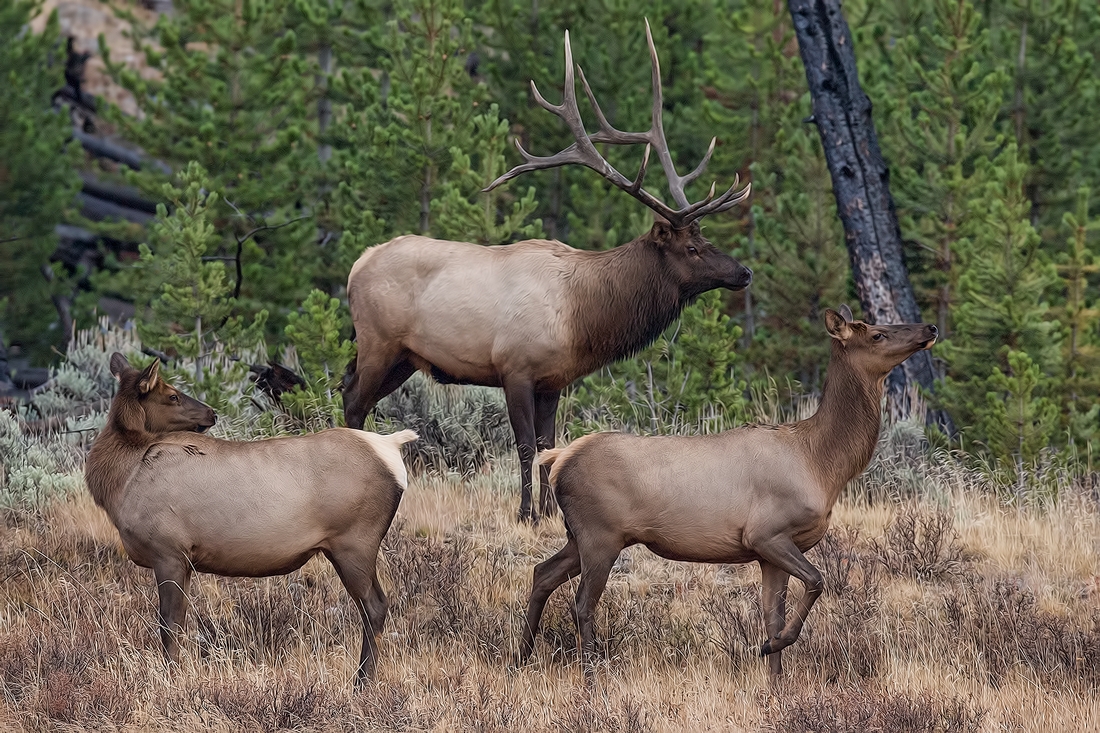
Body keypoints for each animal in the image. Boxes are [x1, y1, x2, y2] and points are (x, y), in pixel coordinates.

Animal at [85, 352, 415, 682]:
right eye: (173, 395)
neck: (122, 483)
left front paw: (173, 675)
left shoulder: (168, 550)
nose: (212, 413)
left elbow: (169, 624)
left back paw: (363, 680)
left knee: (375, 606)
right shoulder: (185, 559)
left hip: (355, 541)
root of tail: (391, 446)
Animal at [345, 21, 748, 519]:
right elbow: (523, 445)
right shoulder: (514, 367)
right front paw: (525, 512)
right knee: (354, 401)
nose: (743, 272)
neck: (584, 316)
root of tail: (357, 264)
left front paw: (552, 511)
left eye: (706, 239)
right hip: (378, 341)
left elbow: (547, 443)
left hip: (403, 357)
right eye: (692, 247)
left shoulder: (554, 380)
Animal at [514, 303, 937, 677]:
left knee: (542, 573)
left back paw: (521, 657)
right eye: (877, 333)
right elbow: (817, 582)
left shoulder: (770, 553)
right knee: (581, 603)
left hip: (580, 535)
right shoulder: (767, 533)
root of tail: (560, 458)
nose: (930, 328)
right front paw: (770, 647)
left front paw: (775, 682)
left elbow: (772, 616)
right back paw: (590, 673)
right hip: (599, 534)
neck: (822, 463)